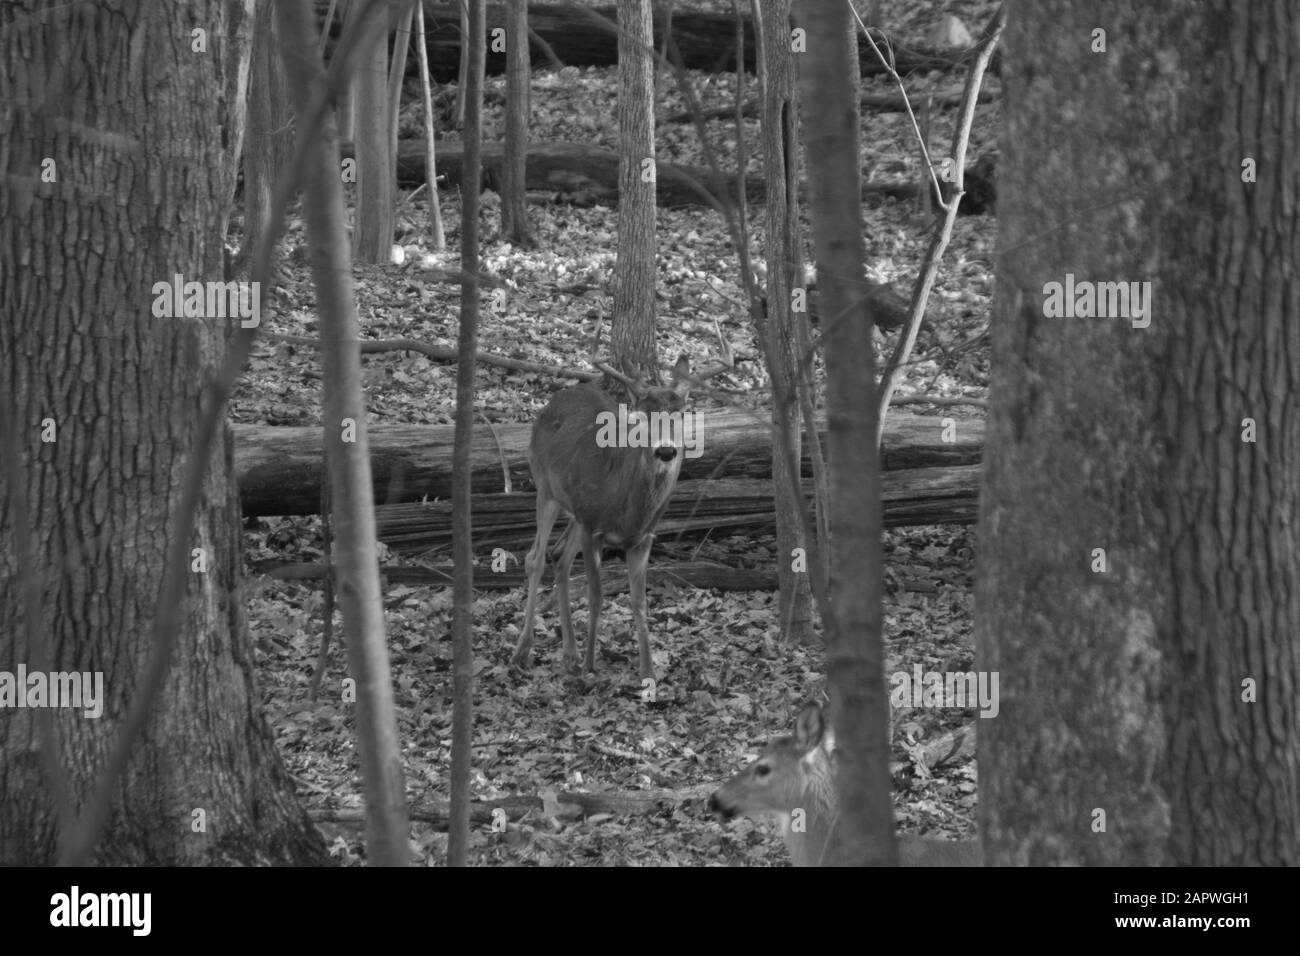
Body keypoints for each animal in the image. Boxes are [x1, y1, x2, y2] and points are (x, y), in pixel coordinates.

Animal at [506, 356, 696, 681]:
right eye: (641, 416)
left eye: (681, 414)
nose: (666, 451)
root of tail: (558, 396)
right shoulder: (592, 528)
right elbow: (595, 595)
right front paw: (589, 666)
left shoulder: (643, 538)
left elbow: (639, 602)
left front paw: (648, 671)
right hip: (546, 487)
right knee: (536, 558)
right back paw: (523, 650)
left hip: (574, 509)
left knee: (559, 556)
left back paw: (569, 652)